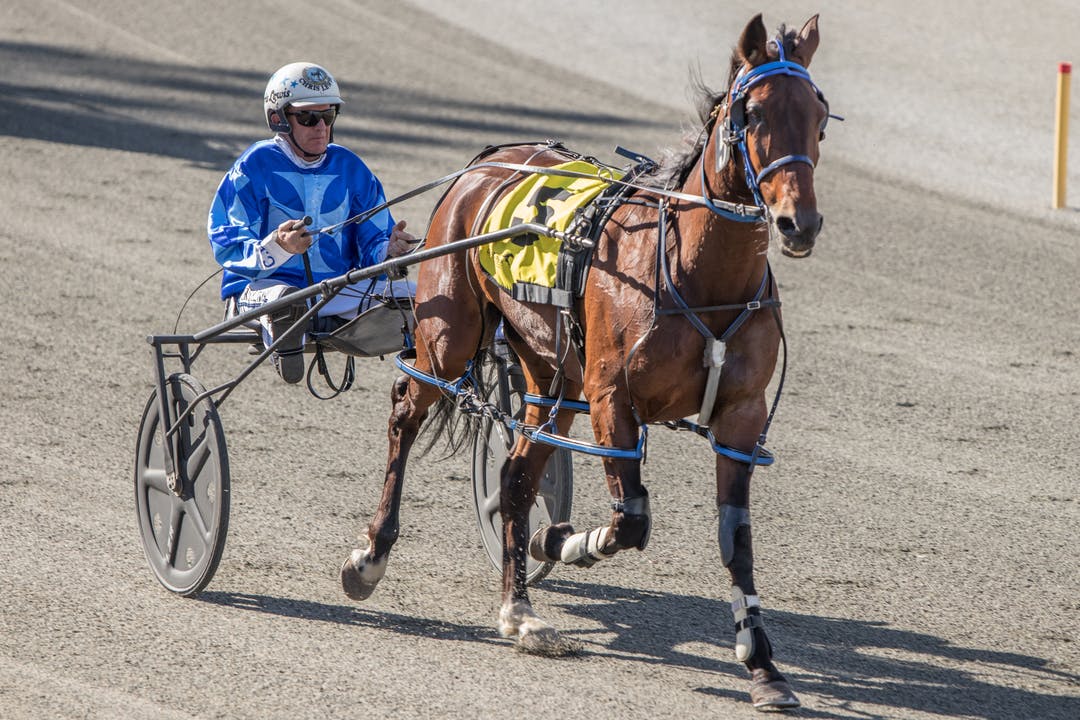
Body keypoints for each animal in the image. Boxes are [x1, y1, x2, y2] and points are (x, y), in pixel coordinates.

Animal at [341, 14, 829, 712]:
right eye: (754, 112)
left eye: (819, 116)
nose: (798, 223)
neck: (695, 274)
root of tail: (486, 162)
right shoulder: (611, 399)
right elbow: (631, 520)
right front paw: (568, 540)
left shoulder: (740, 417)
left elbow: (736, 542)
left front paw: (763, 666)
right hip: (449, 334)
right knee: (405, 415)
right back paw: (371, 556)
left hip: (551, 374)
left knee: (517, 473)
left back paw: (519, 609)